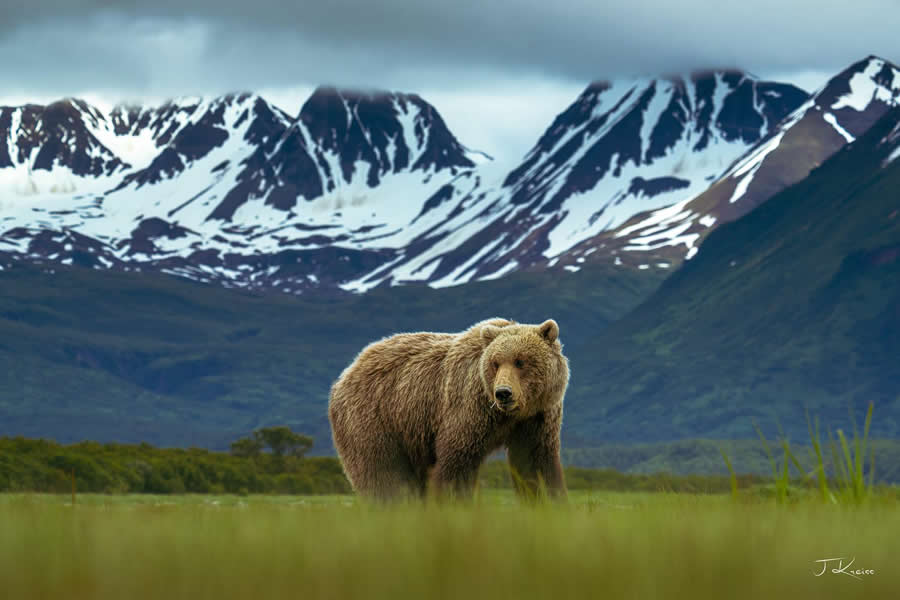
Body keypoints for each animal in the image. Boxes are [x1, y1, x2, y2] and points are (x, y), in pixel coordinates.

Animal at [328, 317, 569, 500]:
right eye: (495, 363)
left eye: (521, 361)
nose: (503, 393)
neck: (509, 414)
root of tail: (347, 372)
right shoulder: (468, 410)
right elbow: (456, 463)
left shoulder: (536, 419)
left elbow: (535, 466)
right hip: (374, 419)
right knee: (383, 475)